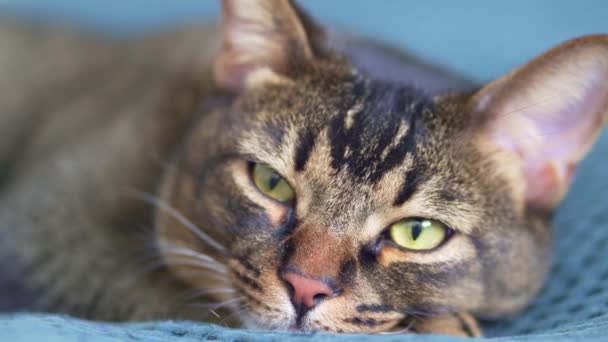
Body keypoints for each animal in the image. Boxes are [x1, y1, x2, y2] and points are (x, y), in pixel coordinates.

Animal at [1, 0, 608, 336]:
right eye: (270, 182)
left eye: (418, 233)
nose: (304, 288)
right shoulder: (45, 236)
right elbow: (193, 306)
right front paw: (442, 326)